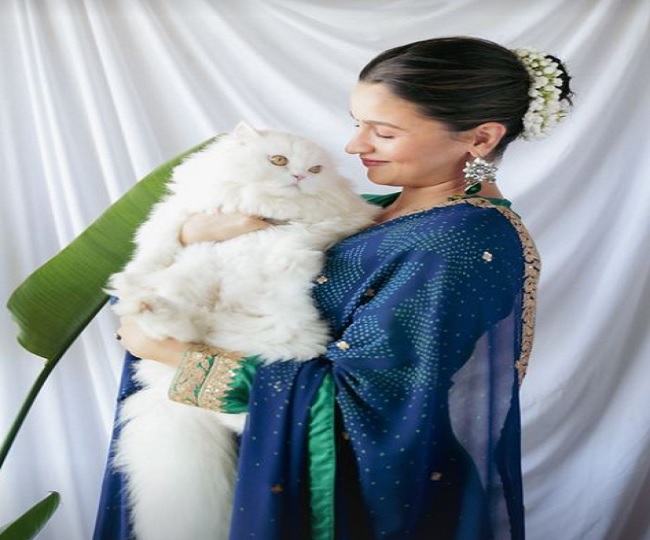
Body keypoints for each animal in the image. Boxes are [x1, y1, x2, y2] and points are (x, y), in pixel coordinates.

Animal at [106, 122, 378, 540]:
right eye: (279, 159)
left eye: (315, 170)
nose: (299, 177)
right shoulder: (182, 212)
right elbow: (158, 244)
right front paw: (127, 281)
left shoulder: (333, 218)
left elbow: (310, 223)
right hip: (196, 276)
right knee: (186, 324)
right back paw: (144, 303)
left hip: (280, 337)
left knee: (235, 400)